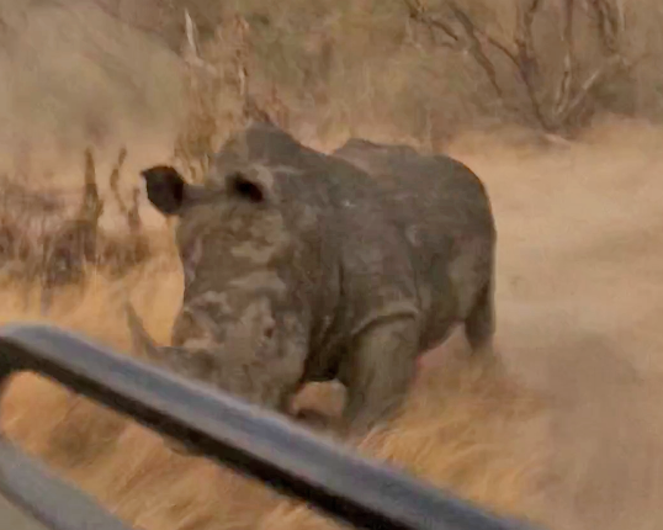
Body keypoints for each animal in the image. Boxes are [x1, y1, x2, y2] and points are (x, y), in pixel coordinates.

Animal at [127, 121, 497, 438]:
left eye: (269, 331)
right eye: (178, 329)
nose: (199, 416)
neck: (305, 244)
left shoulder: (387, 309)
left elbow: (369, 412)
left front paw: (337, 433)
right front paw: (304, 422)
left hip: (480, 205)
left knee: (481, 314)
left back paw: (483, 378)